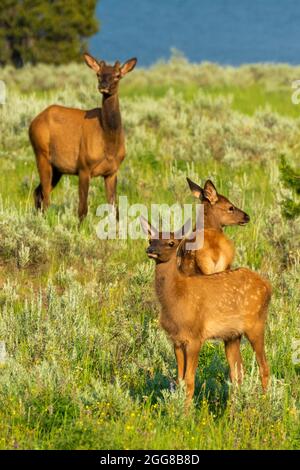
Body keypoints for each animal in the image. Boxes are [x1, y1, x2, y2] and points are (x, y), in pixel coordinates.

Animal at [28, 52, 137, 221]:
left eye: (117, 75)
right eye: (98, 74)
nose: (103, 85)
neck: (108, 143)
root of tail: (32, 123)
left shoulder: (112, 171)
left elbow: (115, 209)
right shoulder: (84, 166)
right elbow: (82, 209)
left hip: (57, 168)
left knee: (38, 192)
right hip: (41, 153)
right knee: (45, 196)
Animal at [141, 217, 272, 404]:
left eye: (171, 243)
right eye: (151, 240)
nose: (151, 250)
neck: (176, 298)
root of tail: (268, 286)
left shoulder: (195, 336)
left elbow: (189, 381)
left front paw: (186, 411)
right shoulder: (177, 340)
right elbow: (179, 379)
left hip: (256, 324)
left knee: (264, 367)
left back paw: (264, 403)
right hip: (232, 335)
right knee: (237, 372)